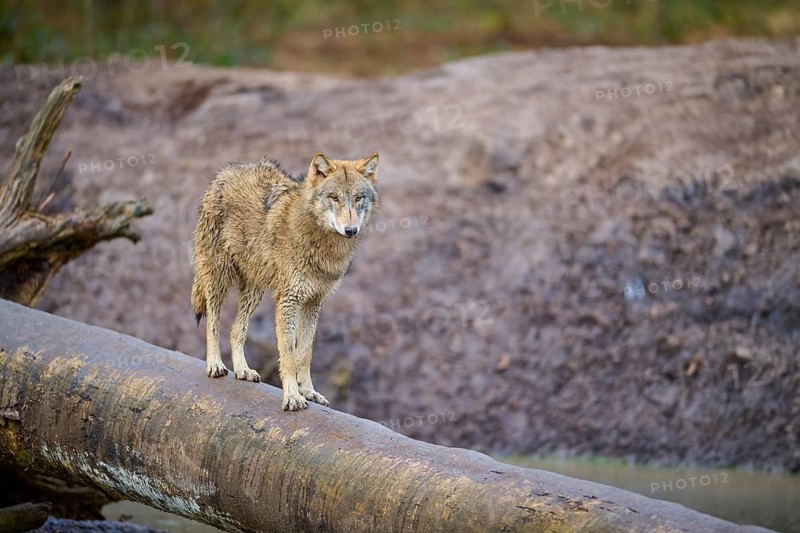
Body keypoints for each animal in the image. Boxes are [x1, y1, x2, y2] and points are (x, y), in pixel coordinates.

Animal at [191, 152, 379, 411]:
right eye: (334, 197)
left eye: (358, 198)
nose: (351, 230)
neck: (322, 244)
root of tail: (226, 172)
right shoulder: (288, 300)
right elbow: (288, 354)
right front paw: (292, 396)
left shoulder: (313, 302)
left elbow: (305, 352)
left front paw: (309, 392)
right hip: (218, 277)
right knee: (213, 321)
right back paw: (215, 364)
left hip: (255, 290)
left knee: (236, 330)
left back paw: (242, 370)